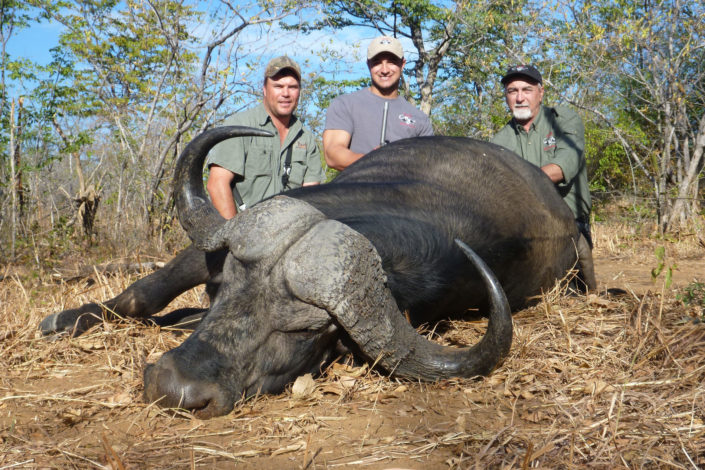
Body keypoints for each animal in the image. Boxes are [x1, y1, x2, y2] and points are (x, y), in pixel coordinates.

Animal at [40, 127, 595, 418]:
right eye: (221, 290)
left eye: (303, 331)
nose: (174, 387)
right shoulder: (211, 248)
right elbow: (144, 292)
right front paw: (65, 319)